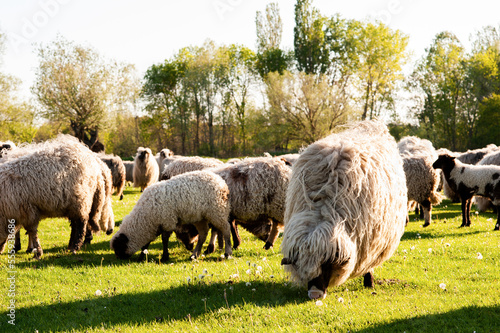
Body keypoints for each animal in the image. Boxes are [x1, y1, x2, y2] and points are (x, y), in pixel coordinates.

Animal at [280, 120, 408, 300]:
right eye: (304, 271)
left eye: (326, 266)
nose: (315, 294)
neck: (321, 211)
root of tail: (369, 125)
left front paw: (369, 281)